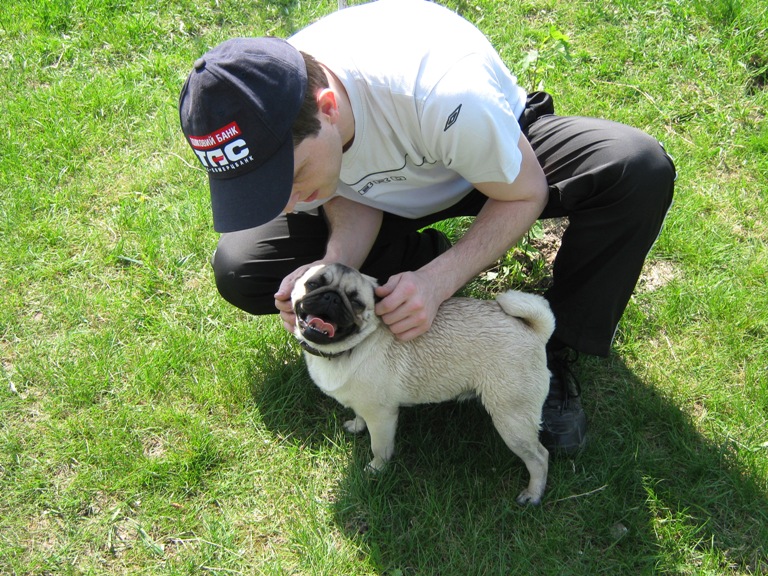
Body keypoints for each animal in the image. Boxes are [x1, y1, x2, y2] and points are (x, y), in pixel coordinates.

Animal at [291, 263, 554, 505]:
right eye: (312, 284)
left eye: (355, 302)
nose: (331, 297)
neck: (347, 349)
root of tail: (535, 331)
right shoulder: (362, 404)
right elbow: (359, 414)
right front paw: (356, 425)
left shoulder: (382, 417)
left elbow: (380, 448)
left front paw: (376, 469)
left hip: (512, 420)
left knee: (540, 457)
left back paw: (533, 494)